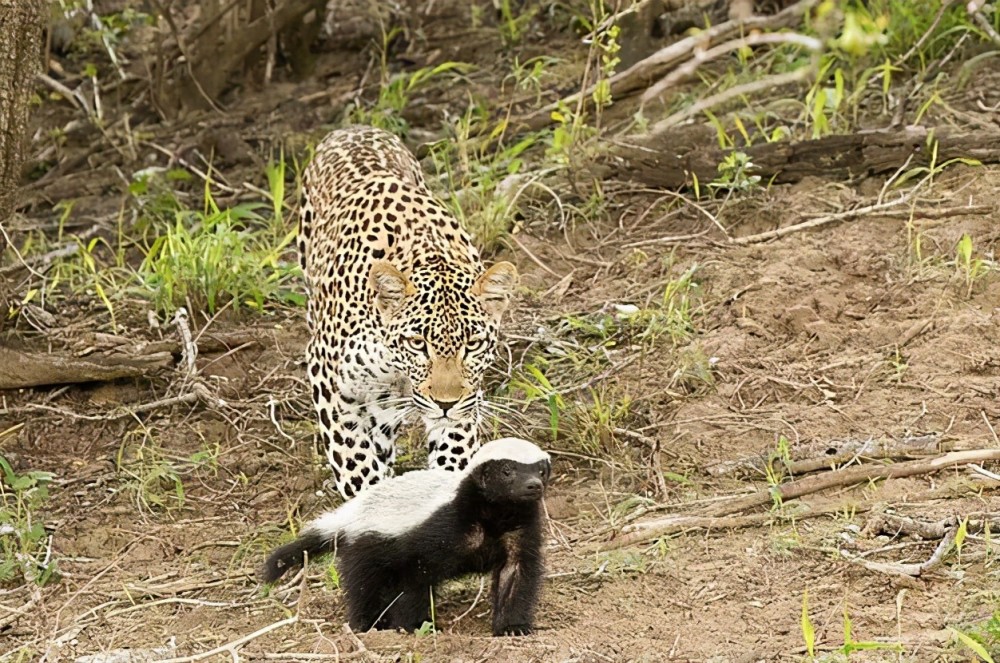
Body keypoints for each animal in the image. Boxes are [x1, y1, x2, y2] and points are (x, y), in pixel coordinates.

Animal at [294, 124, 516, 500]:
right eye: (417, 343)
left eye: (472, 345)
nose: (445, 403)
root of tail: (353, 127)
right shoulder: (327, 376)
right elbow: (354, 460)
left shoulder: (467, 397)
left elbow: (453, 450)